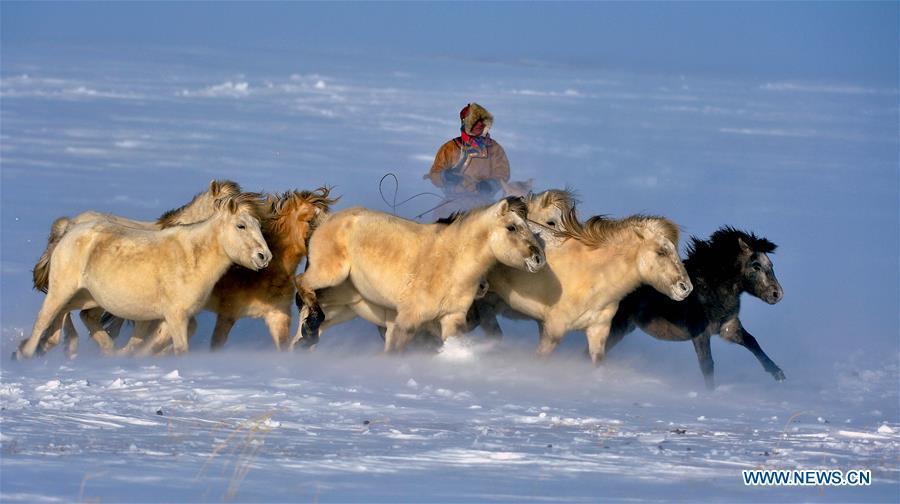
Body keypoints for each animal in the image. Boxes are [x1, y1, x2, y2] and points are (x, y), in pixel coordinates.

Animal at [608, 228, 784, 390]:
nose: (777, 294)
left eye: (771, 265)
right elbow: (707, 364)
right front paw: (710, 394)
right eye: (756, 266)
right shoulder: (700, 332)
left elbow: (752, 341)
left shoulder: (728, 327)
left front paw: (778, 373)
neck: (710, 289)